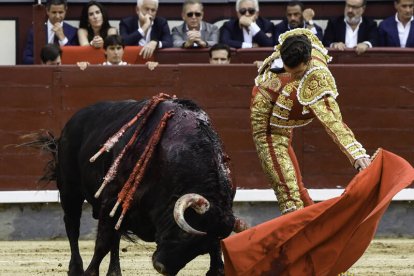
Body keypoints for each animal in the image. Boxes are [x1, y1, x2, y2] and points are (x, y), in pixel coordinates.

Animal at [30, 94, 249, 274]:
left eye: (200, 249)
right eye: (184, 236)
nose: (161, 267)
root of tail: (72, 122)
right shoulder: (112, 200)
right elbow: (102, 243)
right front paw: (90, 272)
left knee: (115, 237)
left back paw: (114, 272)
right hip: (70, 191)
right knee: (73, 226)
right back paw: (76, 269)